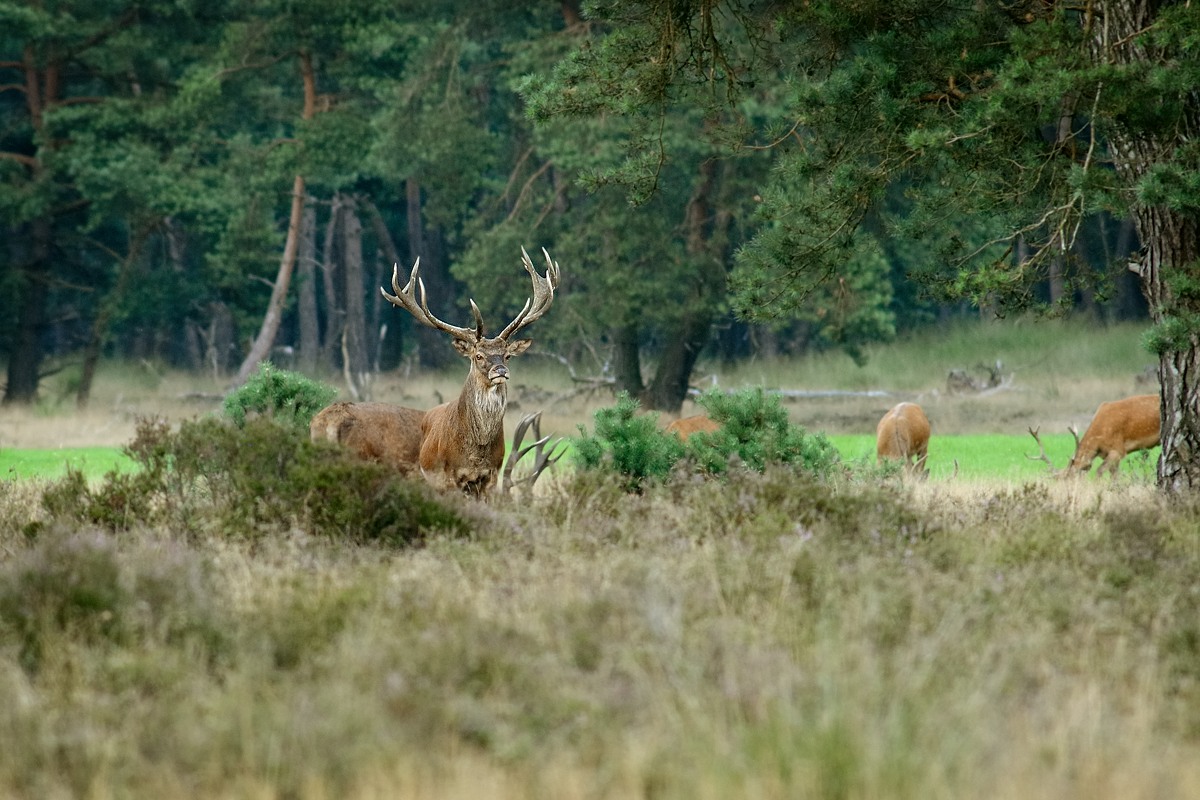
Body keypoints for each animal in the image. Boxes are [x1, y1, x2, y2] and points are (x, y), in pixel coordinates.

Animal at [310, 247, 560, 496]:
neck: (476, 451)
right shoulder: (446, 479)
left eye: (507, 355)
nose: (500, 370)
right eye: (478, 356)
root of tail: (326, 422)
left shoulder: (490, 477)